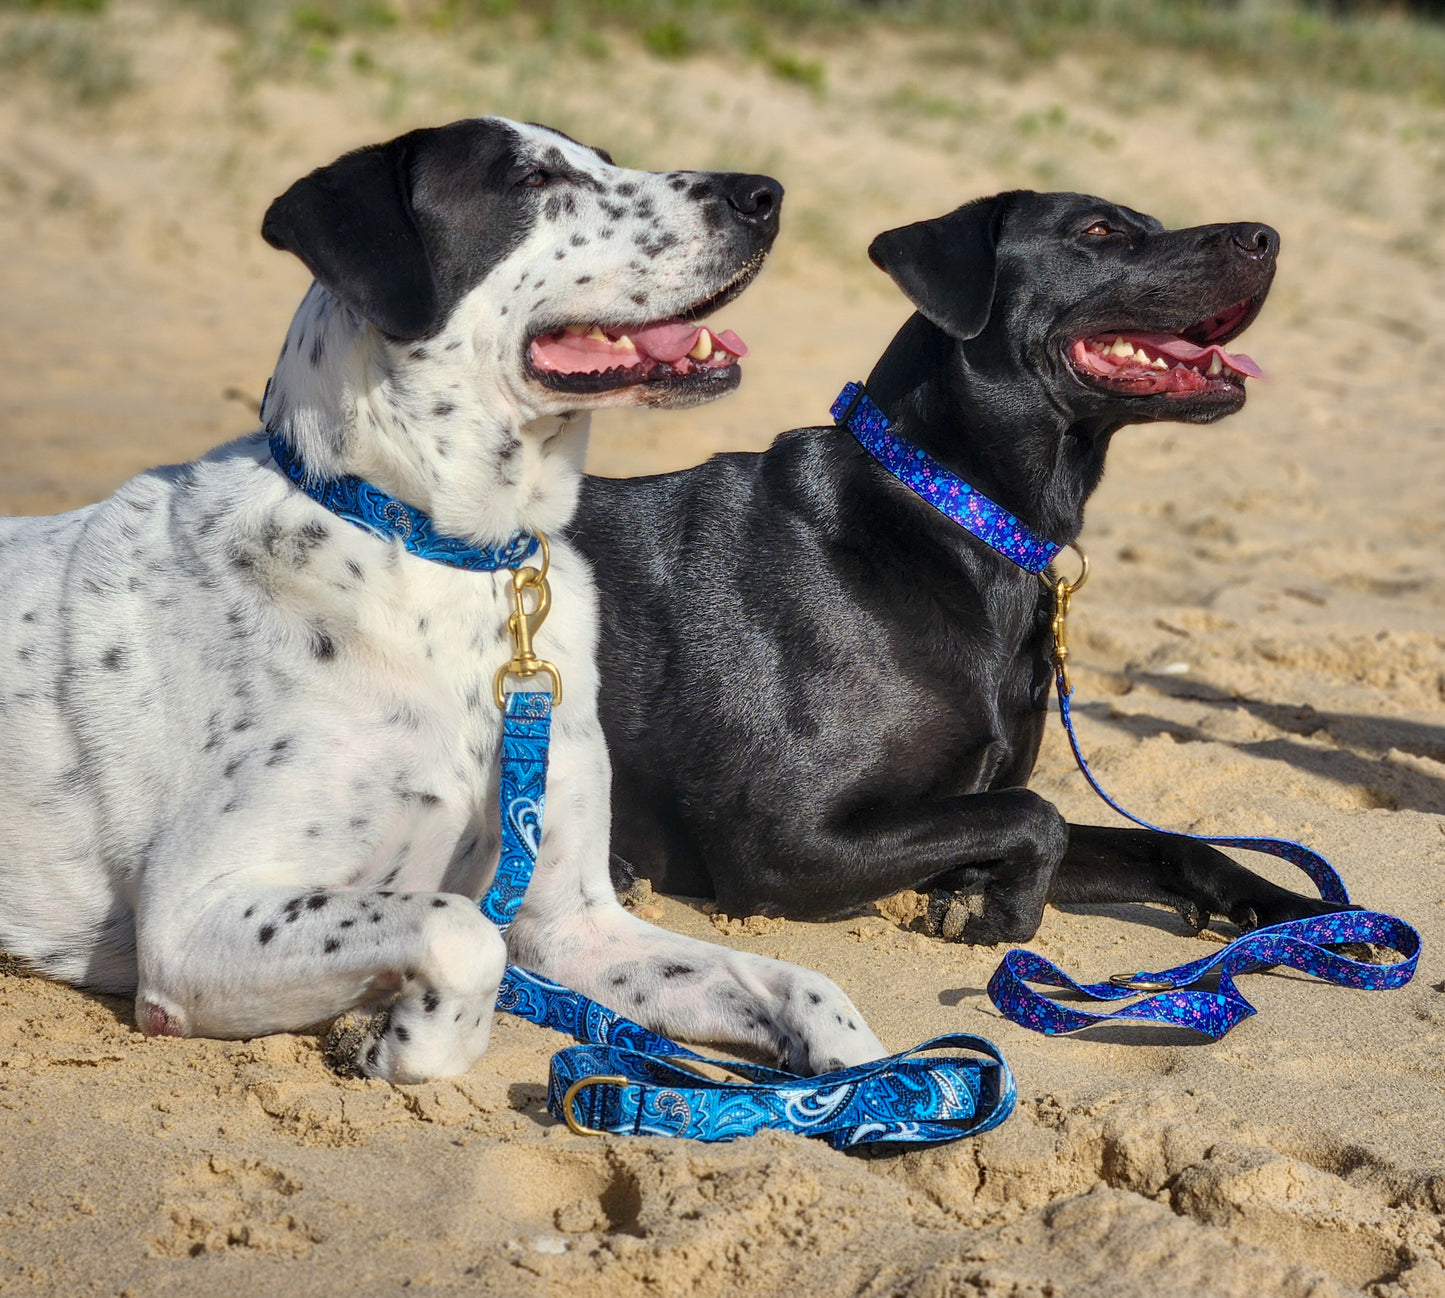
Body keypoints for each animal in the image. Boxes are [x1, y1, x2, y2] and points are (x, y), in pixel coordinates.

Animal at [0, 118, 884, 1081]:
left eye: (604, 157)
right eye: (532, 178)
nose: (764, 193)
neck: (442, 552)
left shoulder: (576, 923)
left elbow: (809, 989)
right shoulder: (192, 919)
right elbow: (463, 934)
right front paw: (394, 1041)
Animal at [566, 189, 1340, 942]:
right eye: (1098, 230)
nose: (1266, 236)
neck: (961, 520)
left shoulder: (962, 802)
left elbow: (1165, 842)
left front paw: (1301, 912)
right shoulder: (777, 839)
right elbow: (1037, 817)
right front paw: (993, 907)